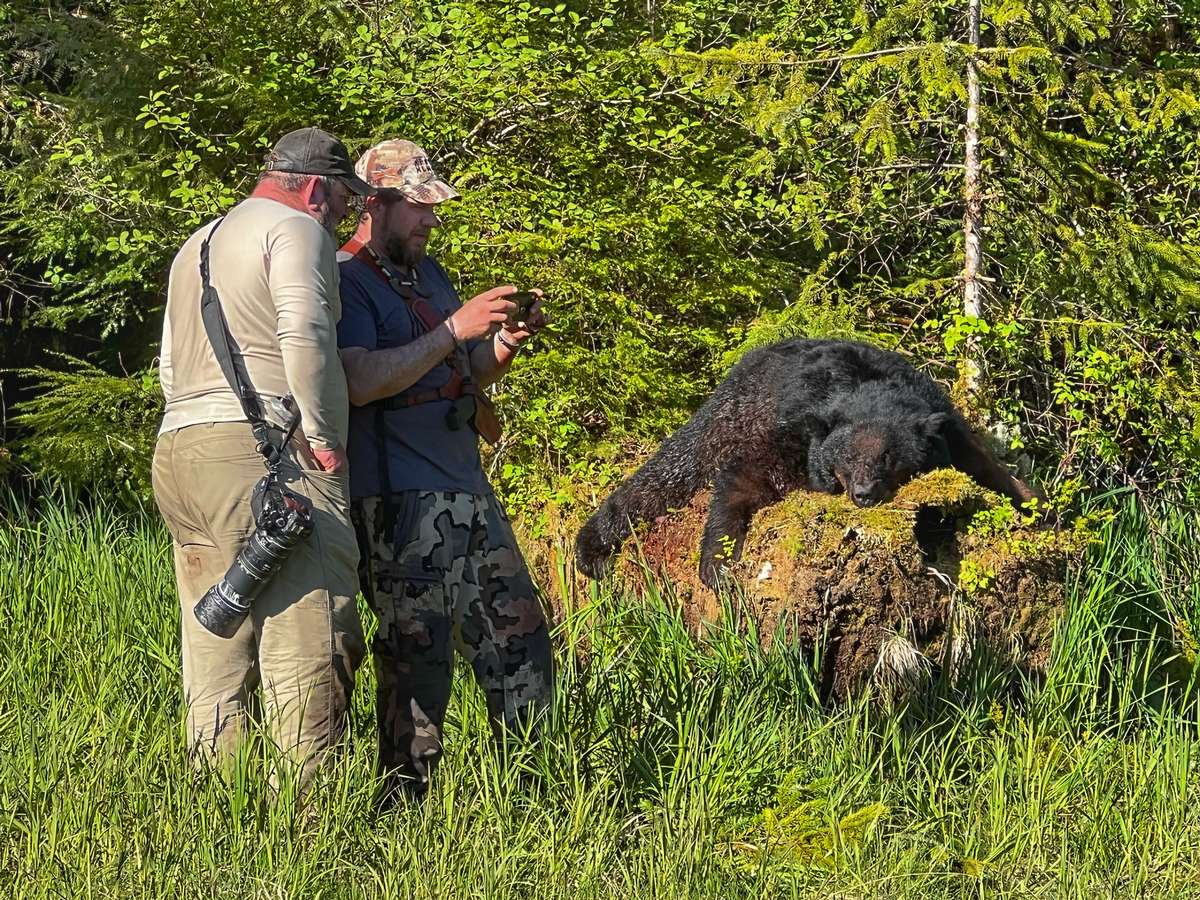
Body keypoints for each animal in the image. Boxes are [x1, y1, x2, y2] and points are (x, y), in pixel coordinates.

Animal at [576, 336, 1036, 585]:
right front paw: (717, 565)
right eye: (847, 458)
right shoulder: (793, 431)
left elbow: (990, 470)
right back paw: (592, 547)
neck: (870, 390)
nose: (863, 494)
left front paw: (1036, 505)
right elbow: (745, 478)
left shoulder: (947, 425)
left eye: (889, 458)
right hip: (726, 415)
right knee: (669, 471)